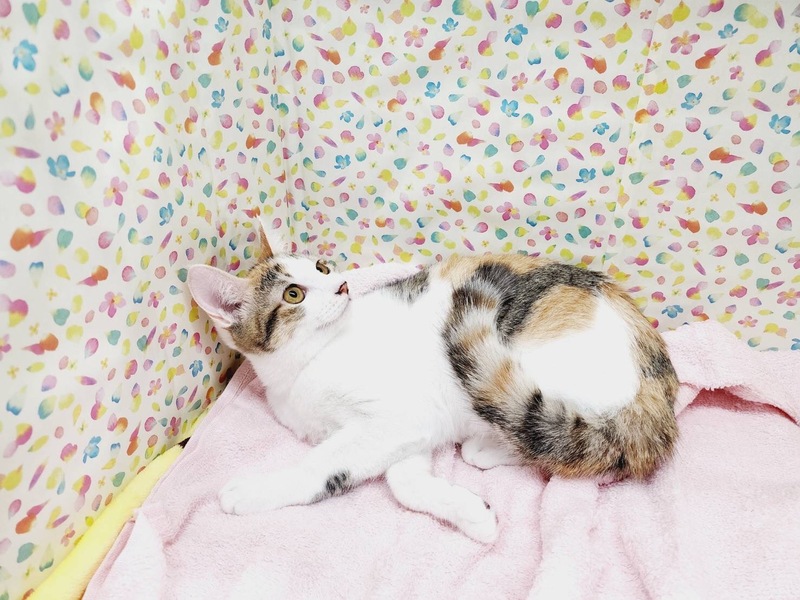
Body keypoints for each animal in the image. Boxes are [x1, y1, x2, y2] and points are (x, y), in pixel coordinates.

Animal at [188, 224, 678, 543]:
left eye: (323, 268)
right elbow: (404, 482)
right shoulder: (409, 429)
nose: (343, 285)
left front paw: (253, 491)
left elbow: (322, 466)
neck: (302, 368)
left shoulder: (393, 418)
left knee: (575, 441)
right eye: (294, 294)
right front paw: (470, 513)